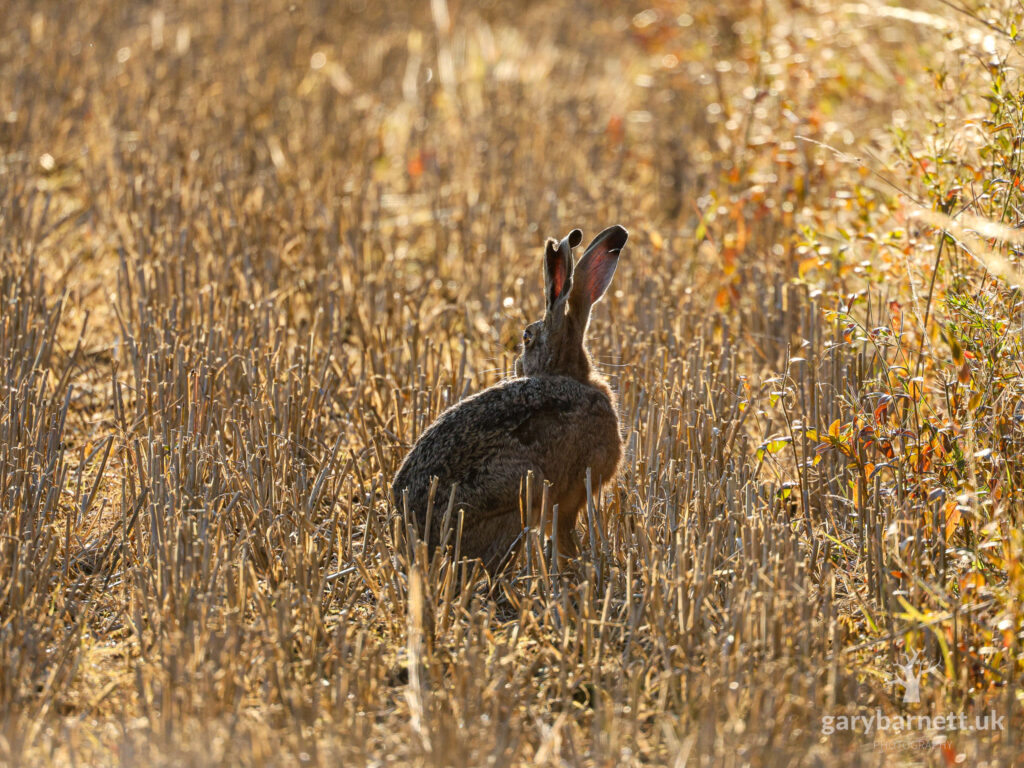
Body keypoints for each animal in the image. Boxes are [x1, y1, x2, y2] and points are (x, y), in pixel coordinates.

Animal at [391, 225, 628, 574]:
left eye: (526, 338)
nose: (515, 367)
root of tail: (418, 543)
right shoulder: (571, 494)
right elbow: (564, 536)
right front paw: (580, 567)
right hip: (521, 491)